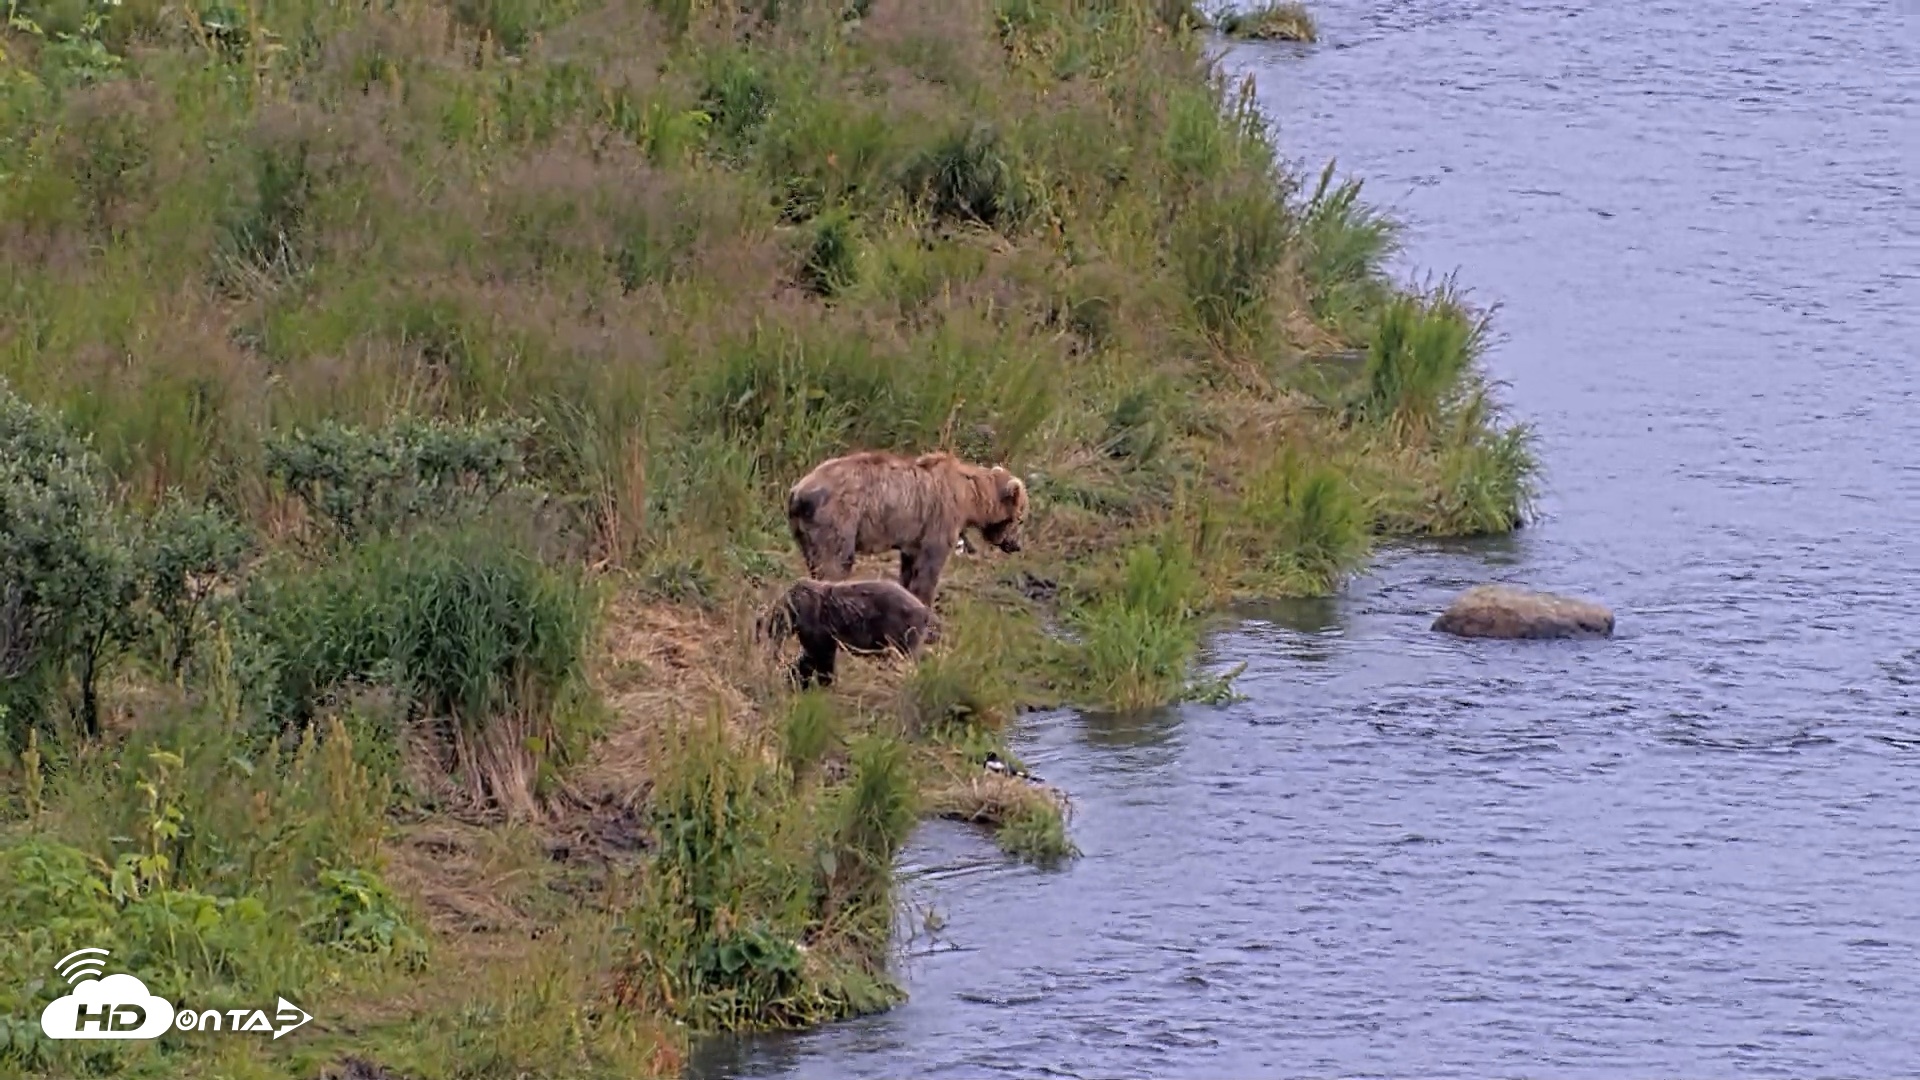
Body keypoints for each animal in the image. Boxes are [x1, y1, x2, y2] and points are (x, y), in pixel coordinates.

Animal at [757, 578, 939, 689]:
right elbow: (806, 661)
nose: (769, 632)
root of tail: (924, 610)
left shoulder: (820, 637)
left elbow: (820, 661)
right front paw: (793, 680)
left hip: (900, 636)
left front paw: (821, 683)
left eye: (776, 617)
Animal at [785, 450, 1029, 608]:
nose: (1016, 545)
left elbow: (910, 568)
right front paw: (925, 605)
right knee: (835, 564)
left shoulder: (914, 536)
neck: (970, 497)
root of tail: (798, 491)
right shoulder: (940, 520)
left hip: (806, 530)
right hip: (838, 519)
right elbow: (929, 569)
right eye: (1021, 518)